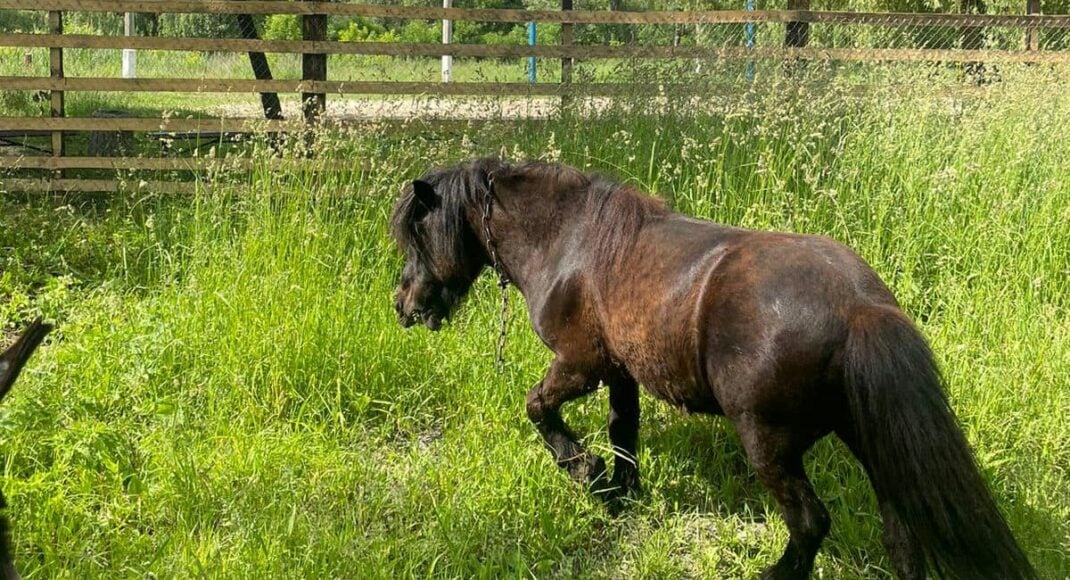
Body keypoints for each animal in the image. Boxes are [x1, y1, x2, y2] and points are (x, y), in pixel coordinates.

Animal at [393, 159, 1035, 580]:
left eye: (417, 237)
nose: (403, 307)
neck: (569, 241)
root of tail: (860, 306)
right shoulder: (621, 372)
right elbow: (623, 430)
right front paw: (621, 493)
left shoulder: (580, 364)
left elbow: (538, 408)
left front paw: (588, 476)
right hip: (867, 440)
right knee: (901, 534)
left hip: (768, 441)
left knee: (811, 522)